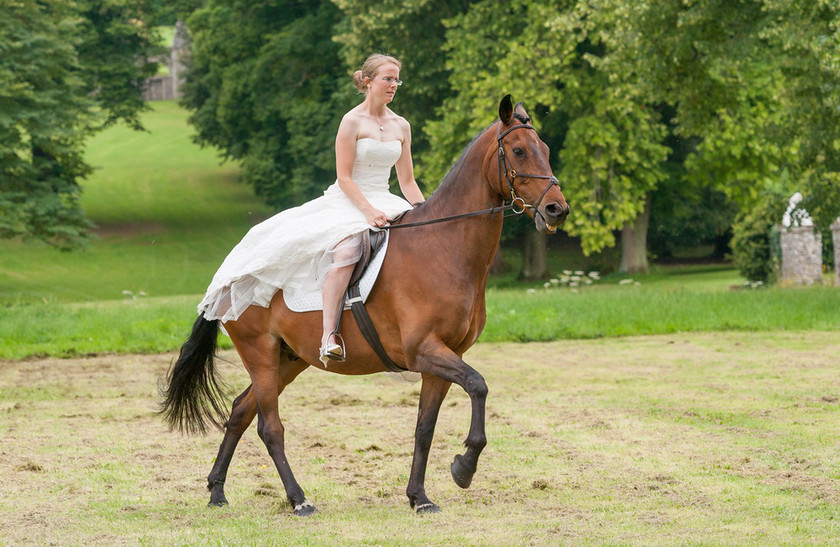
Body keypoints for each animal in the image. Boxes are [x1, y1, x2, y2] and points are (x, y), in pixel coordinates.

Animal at [159, 95, 572, 520]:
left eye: (546, 150)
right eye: (519, 151)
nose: (557, 210)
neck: (444, 248)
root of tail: (227, 276)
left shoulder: (443, 357)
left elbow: (425, 427)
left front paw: (419, 497)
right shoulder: (424, 350)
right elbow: (478, 384)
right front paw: (464, 467)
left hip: (289, 359)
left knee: (241, 412)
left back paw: (217, 491)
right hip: (259, 352)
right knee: (269, 427)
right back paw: (299, 500)